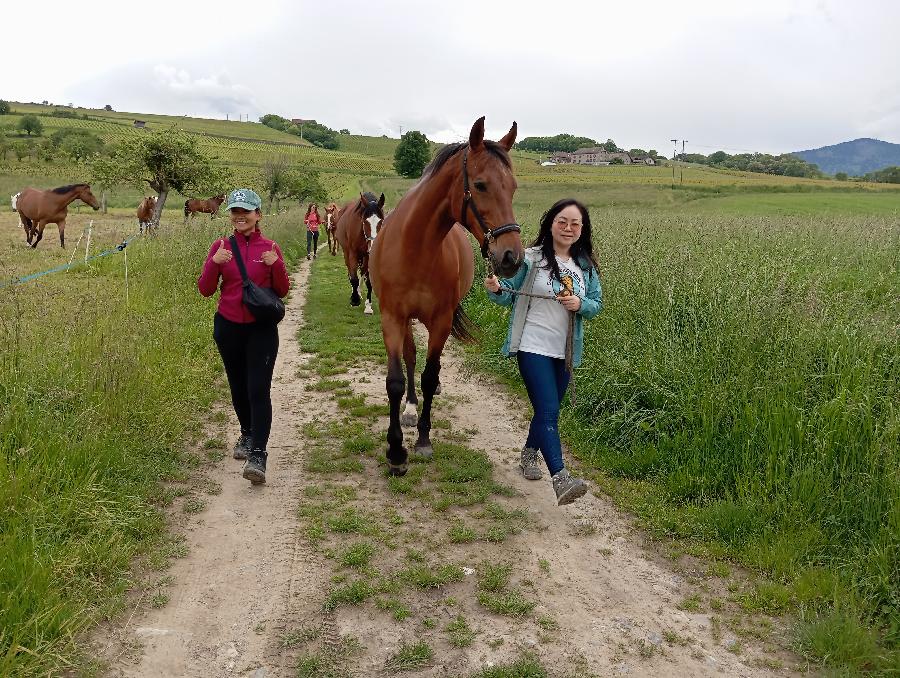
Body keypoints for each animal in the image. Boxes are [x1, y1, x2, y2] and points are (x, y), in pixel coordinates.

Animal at [370, 118, 524, 478]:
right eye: (480, 185)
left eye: (512, 187)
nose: (511, 257)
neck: (415, 248)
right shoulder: (391, 317)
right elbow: (396, 380)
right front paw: (396, 451)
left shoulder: (440, 320)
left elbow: (429, 376)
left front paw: (423, 440)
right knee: (411, 357)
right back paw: (410, 409)